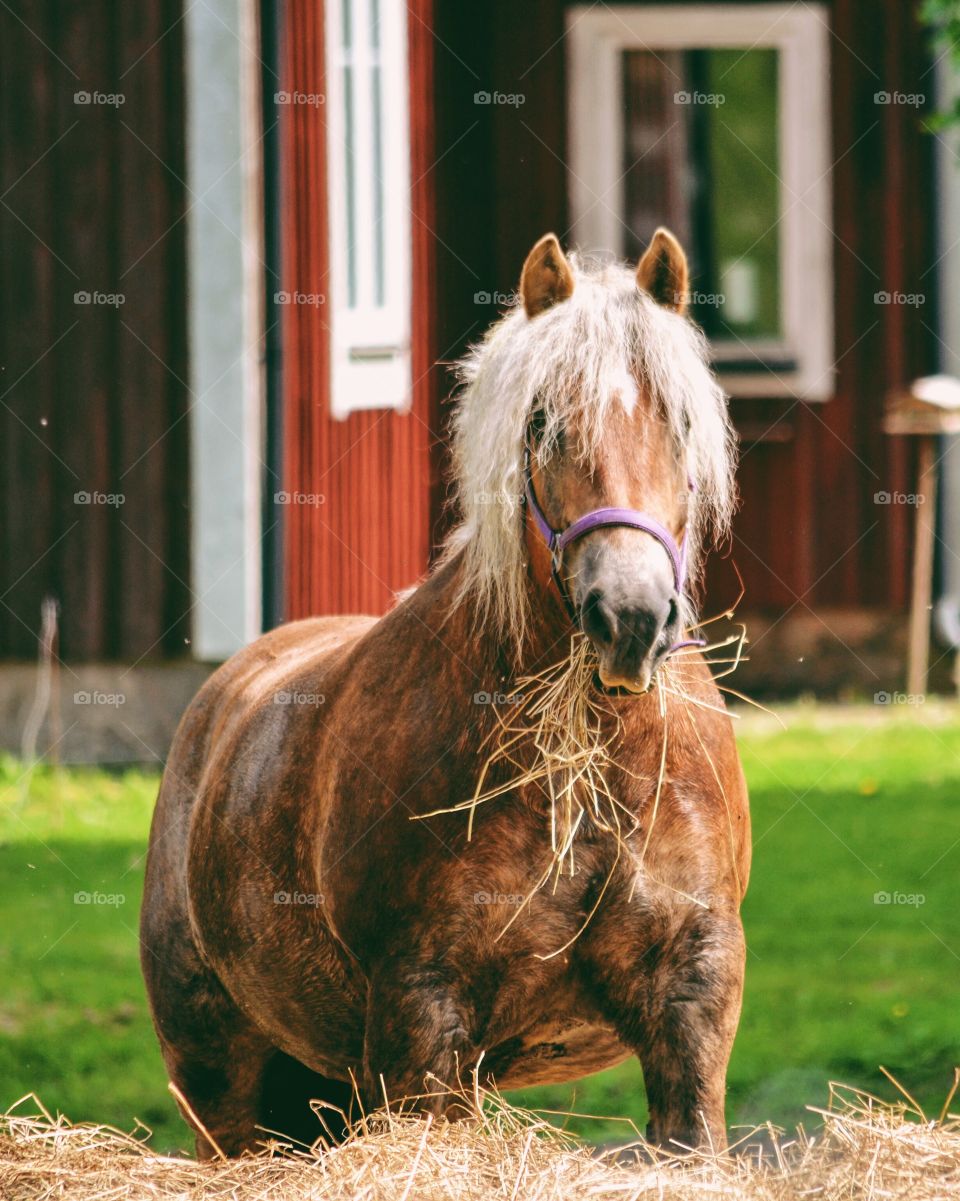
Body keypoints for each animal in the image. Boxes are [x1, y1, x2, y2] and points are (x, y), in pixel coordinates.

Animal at [140, 229, 749, 1157]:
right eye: (542, 422)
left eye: (679, 422)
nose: (631, 616)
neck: (591, 765)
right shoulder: (423, 1016)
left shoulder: (693, 996)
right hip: (223, 1086)